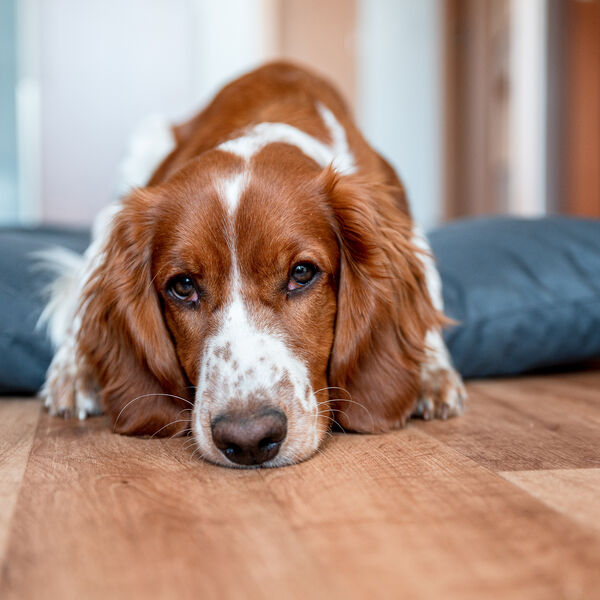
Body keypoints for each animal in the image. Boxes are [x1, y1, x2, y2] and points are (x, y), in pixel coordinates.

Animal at [41, 62, 465, 468]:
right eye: (183, 286)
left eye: (301, 273)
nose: (248, 439)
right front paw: (74, 368)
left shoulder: (405, 224)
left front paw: (433, 372)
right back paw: (72, 374)